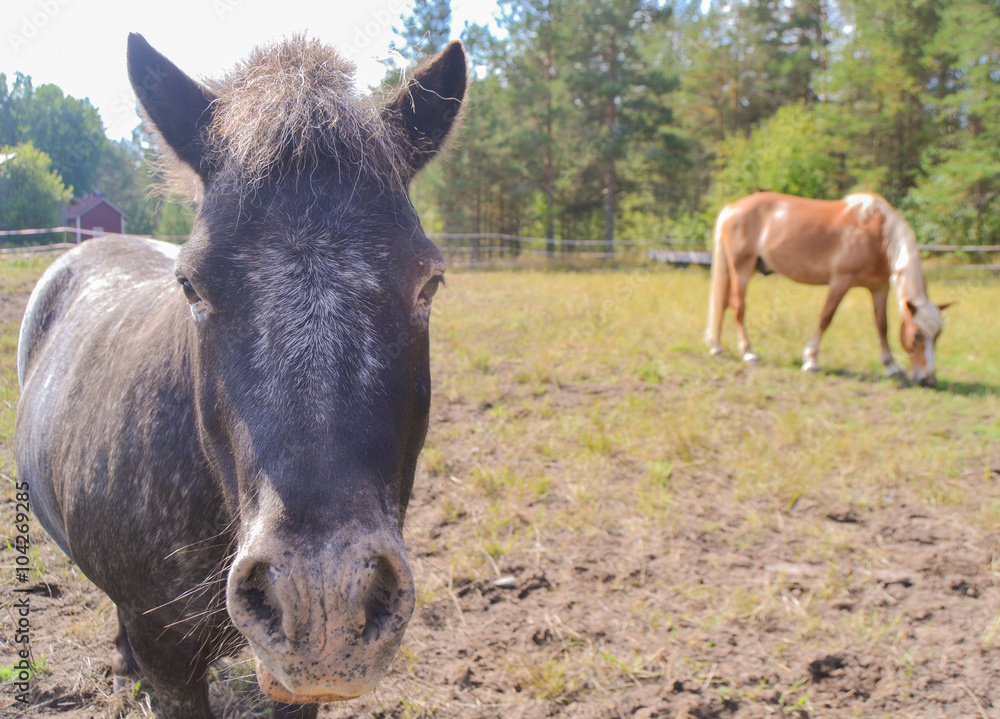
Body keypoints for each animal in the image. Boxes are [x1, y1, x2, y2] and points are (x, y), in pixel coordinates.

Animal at [705, 191, 949, 386]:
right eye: (917, 335)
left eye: (937, 335)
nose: (928, 380)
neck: (877, 235)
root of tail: (732, 208)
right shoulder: (841, 281)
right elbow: (826, 318)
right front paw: (811, 360)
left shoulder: (879, 288)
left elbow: (882, 326)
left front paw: (891, 366)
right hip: (742, 270)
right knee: (738, 307)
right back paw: (748, 353)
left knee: (723, 304)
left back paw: (716, 347)